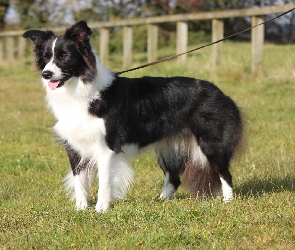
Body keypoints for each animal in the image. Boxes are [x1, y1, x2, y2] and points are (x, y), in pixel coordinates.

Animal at [23, 21, 245, 211]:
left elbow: (104, 181)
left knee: (225, 174)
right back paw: (161, 200)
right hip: (168, 147)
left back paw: (228, 201)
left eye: (64, 56)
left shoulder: (106, 147)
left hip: (211, 144)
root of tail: (220, 92)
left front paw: (101, 209)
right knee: (173, 177)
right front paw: (81, 209)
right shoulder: (75, 146)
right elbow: (80, 180)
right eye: (46, 58)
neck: (79, 88)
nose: (46, 74)